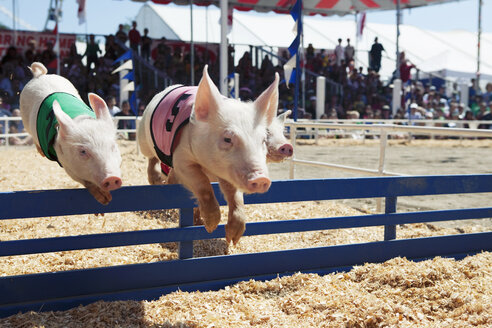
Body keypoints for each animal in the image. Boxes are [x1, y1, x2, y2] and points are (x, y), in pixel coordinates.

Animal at [20, 62, 122, 204]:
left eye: (113, 146)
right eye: (83, 151)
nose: (112, 178)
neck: (80, 120)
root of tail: (39, 75)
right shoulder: (67, 165)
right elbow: (84, 181)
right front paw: (105, 200)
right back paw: (41, 153)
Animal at [138, 64, 278, 243]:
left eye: (263, 140)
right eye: (227, 139)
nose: (261, 178)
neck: (211, 169)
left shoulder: (228, 174)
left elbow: (235, 195)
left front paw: (232, 238)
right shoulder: (181, 157)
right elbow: (201, 183)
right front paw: (211, 227)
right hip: (144, 137)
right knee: (151, 158)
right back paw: (157, 181)